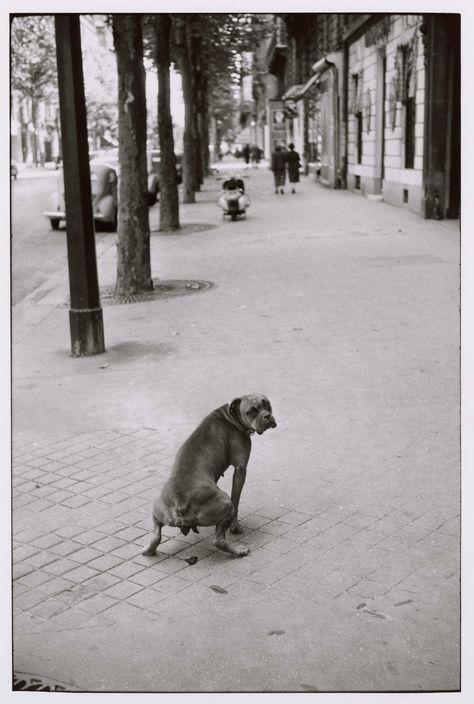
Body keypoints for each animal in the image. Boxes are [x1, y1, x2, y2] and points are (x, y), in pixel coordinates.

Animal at [141, 394, 276, 560]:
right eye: (252, 411)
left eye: (267, 404)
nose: (267, 416)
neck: (231, 417)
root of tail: (181, 501)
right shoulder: (240, 469)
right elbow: (236, 499)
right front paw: (235, 527)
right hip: (226, 504)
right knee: (218, 540)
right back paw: (239, 551)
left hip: (156, 508)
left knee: (156, 535)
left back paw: (149, 550)